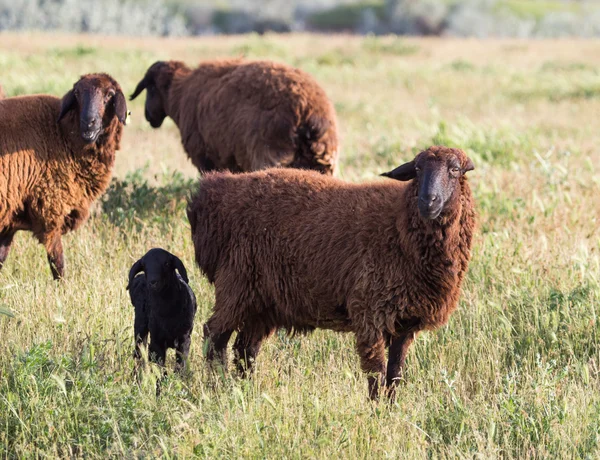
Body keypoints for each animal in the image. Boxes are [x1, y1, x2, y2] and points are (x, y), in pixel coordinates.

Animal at [0, 73, 126, 278]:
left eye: (109, 95)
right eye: (77, 93)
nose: (88, 122)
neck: (64, 134)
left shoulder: (10, 220)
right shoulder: (50, 210)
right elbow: (57, 262)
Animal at [129, 60, 340, 175]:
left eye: (151, 87)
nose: (148, 116)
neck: (179, 94)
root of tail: (309, 113)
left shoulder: (205, 158)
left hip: (269, 157)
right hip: (323, 162)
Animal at [185, 146, 476, 398]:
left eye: (455, 169)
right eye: (416, 169)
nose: (428, 201)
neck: (399, 225)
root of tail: (213, 193)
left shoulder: (405, 324)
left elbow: (395, 375)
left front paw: (392, 410)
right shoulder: (370, 311)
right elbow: (376, 374)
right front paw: (377, 413)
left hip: (263, 300)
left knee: (245, 348)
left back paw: (245, 390)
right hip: (236, 284)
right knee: (214, 336)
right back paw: (218, 386)